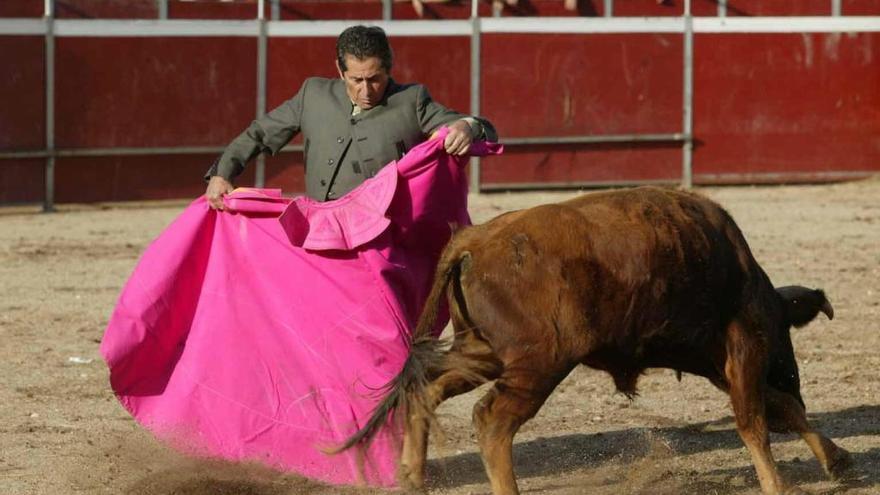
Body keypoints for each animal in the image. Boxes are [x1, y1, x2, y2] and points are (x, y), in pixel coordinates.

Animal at [340, 187, 848, 495]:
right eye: (786, 338)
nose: (791, 372)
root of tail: (474, 239)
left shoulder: (716, 361)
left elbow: (782, 408)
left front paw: (837, 460)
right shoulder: (743, 347)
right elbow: (759, 418)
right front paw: (781, 483)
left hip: (483, 351)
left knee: (427, 386)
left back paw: (411, 474)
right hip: (537, 363)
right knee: (492, 420)